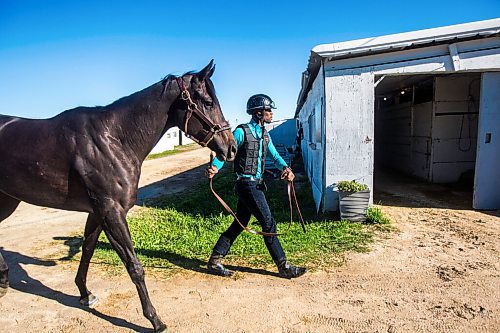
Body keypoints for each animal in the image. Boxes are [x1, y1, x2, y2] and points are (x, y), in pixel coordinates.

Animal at [0, 61, 236, 330]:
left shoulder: (97, 212)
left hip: (7, 200)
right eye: (207, 102)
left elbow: (88, 249)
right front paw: (154, 319)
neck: (113, 139)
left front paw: (85, 293)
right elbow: (134, 266)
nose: (231, 148)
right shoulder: (111, 212)